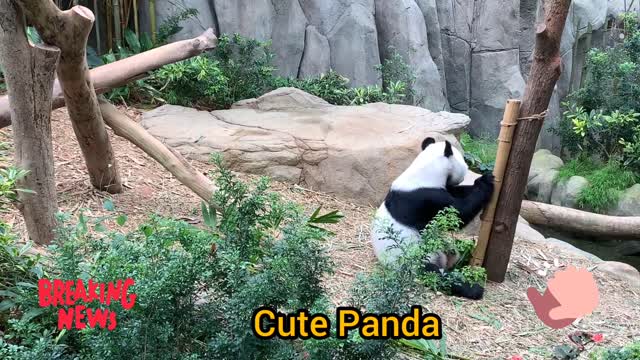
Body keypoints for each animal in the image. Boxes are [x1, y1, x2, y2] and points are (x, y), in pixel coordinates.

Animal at [370, 136, 496, 300]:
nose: (465, 173)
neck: (424, 171)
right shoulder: (425, 198)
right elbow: (457, 215)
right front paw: (485, 182)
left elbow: (457, 193)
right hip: (414, 260)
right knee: (436, 275)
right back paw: (473, 289)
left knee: (452, 253)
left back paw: (465, 258)